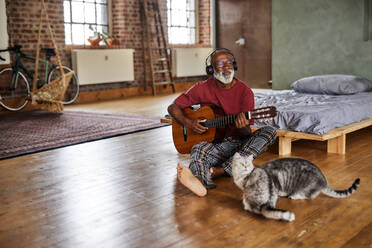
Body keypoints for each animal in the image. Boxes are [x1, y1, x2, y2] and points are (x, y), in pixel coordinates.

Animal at [232, 153, 360, 221]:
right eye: (241, 164)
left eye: (246, 164)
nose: (245, 167)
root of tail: (324, 181)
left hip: (304, 187)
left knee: (308, 196)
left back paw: (293, 196)